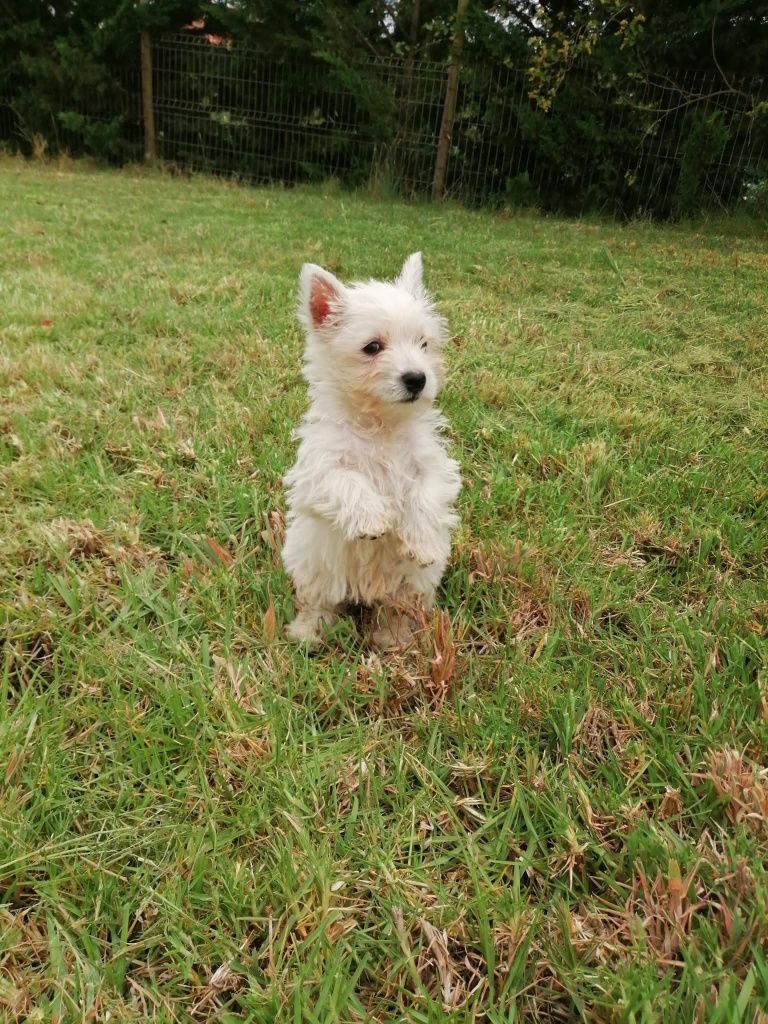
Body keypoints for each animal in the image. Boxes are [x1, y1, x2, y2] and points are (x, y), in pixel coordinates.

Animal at [282, 251, 462, 643]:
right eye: (373, 347)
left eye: (424, 344)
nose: (417, 378)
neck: (381, 425)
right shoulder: (316, 473)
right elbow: (347, 481)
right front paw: (373, 518)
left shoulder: (433, 466)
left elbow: (426, 496)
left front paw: (422, 543)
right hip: (314, 567)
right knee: (317, 602)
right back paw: (307, 634)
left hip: (409, 586)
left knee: (396, 610)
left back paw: (394, 639)